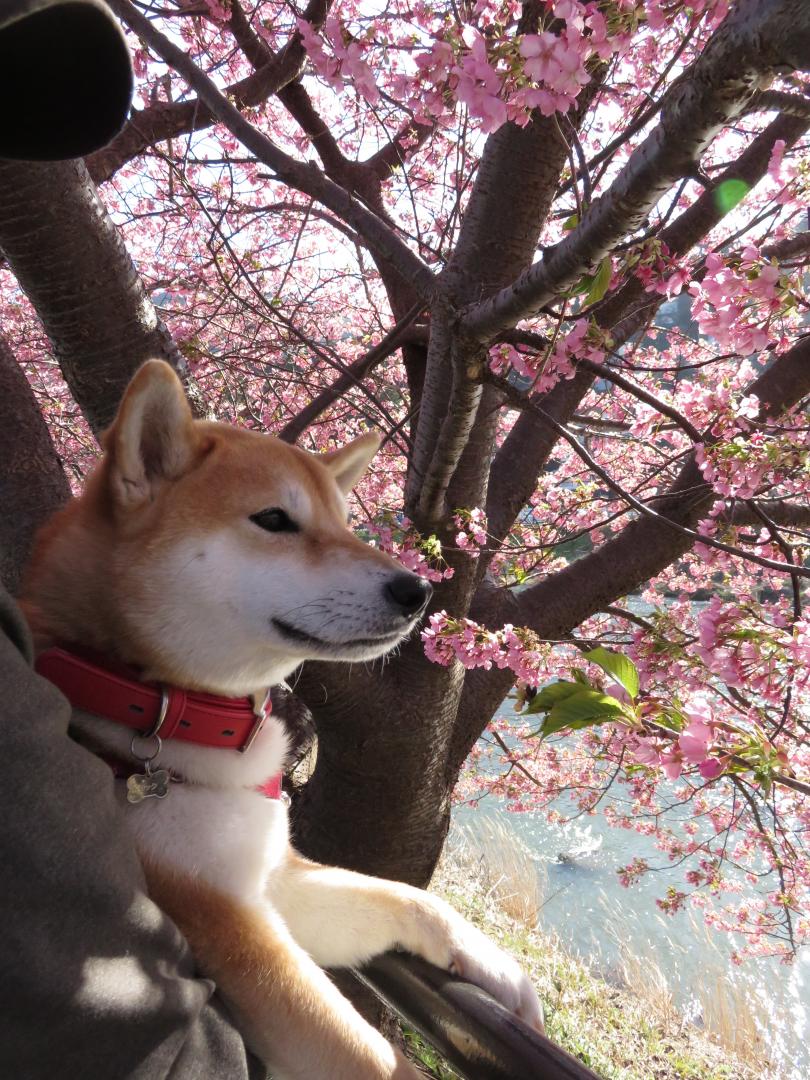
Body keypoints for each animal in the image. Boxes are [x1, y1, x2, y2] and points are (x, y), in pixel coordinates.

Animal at [23, 362, 546, 1080]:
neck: (177, 714)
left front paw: (494, 966)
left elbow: (404, 898)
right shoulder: (223, 917)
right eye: (275, 519)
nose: (418, 590)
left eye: (346, 524)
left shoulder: (277, 875)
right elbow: (364, 1053)